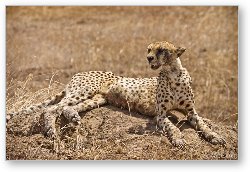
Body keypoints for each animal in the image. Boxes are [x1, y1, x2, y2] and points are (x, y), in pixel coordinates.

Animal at [6, 41, 225, 146]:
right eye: (149, 49)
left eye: (161, 49)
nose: (149, 58)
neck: (173, 73)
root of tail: (79, 72)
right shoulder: (161, 115)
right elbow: (173, 127)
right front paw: (179, 139)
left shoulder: (191, 112)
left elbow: (203, 124)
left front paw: (215, 136)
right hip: (84, 90)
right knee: (52, 108)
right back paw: (51, 131)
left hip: (97, 99)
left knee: (69, 107)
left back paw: (74, 117)